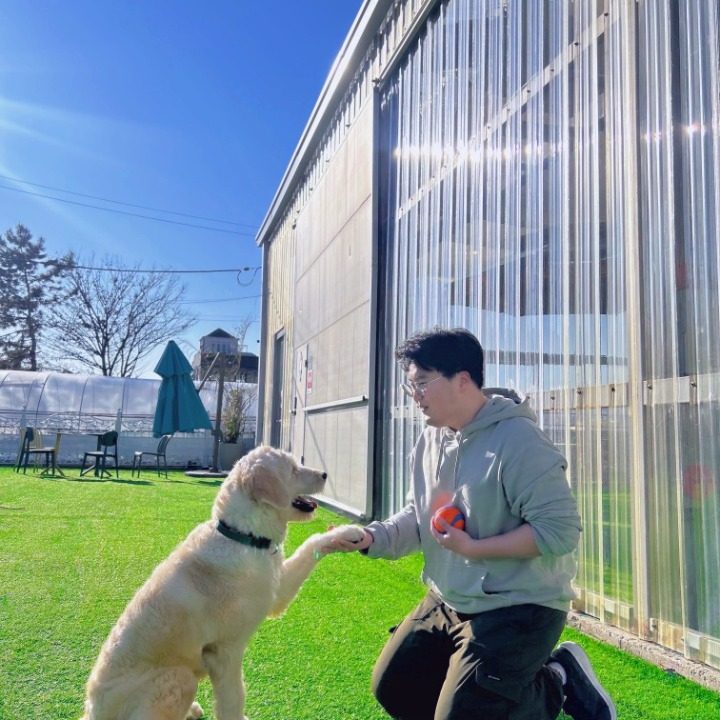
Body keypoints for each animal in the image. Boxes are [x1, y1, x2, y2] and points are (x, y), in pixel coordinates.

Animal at [83, 444, 366, 720]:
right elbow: (234, 697)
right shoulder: (224, 652)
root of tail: (92, 711)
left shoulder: (276, 592)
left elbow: (311, 543)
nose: (325, 474)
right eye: (294, 469)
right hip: (178, 677)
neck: (243, 536)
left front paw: (349, 533)